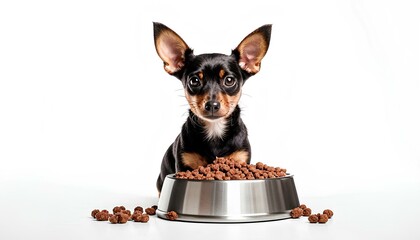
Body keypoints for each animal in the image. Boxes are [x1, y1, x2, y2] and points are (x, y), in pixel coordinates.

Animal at [153, 22, 270, 191]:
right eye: (194, 81)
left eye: (229, 80)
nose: (212, 105)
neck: (215, 129)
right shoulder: (184, 164)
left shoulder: (240, 158)